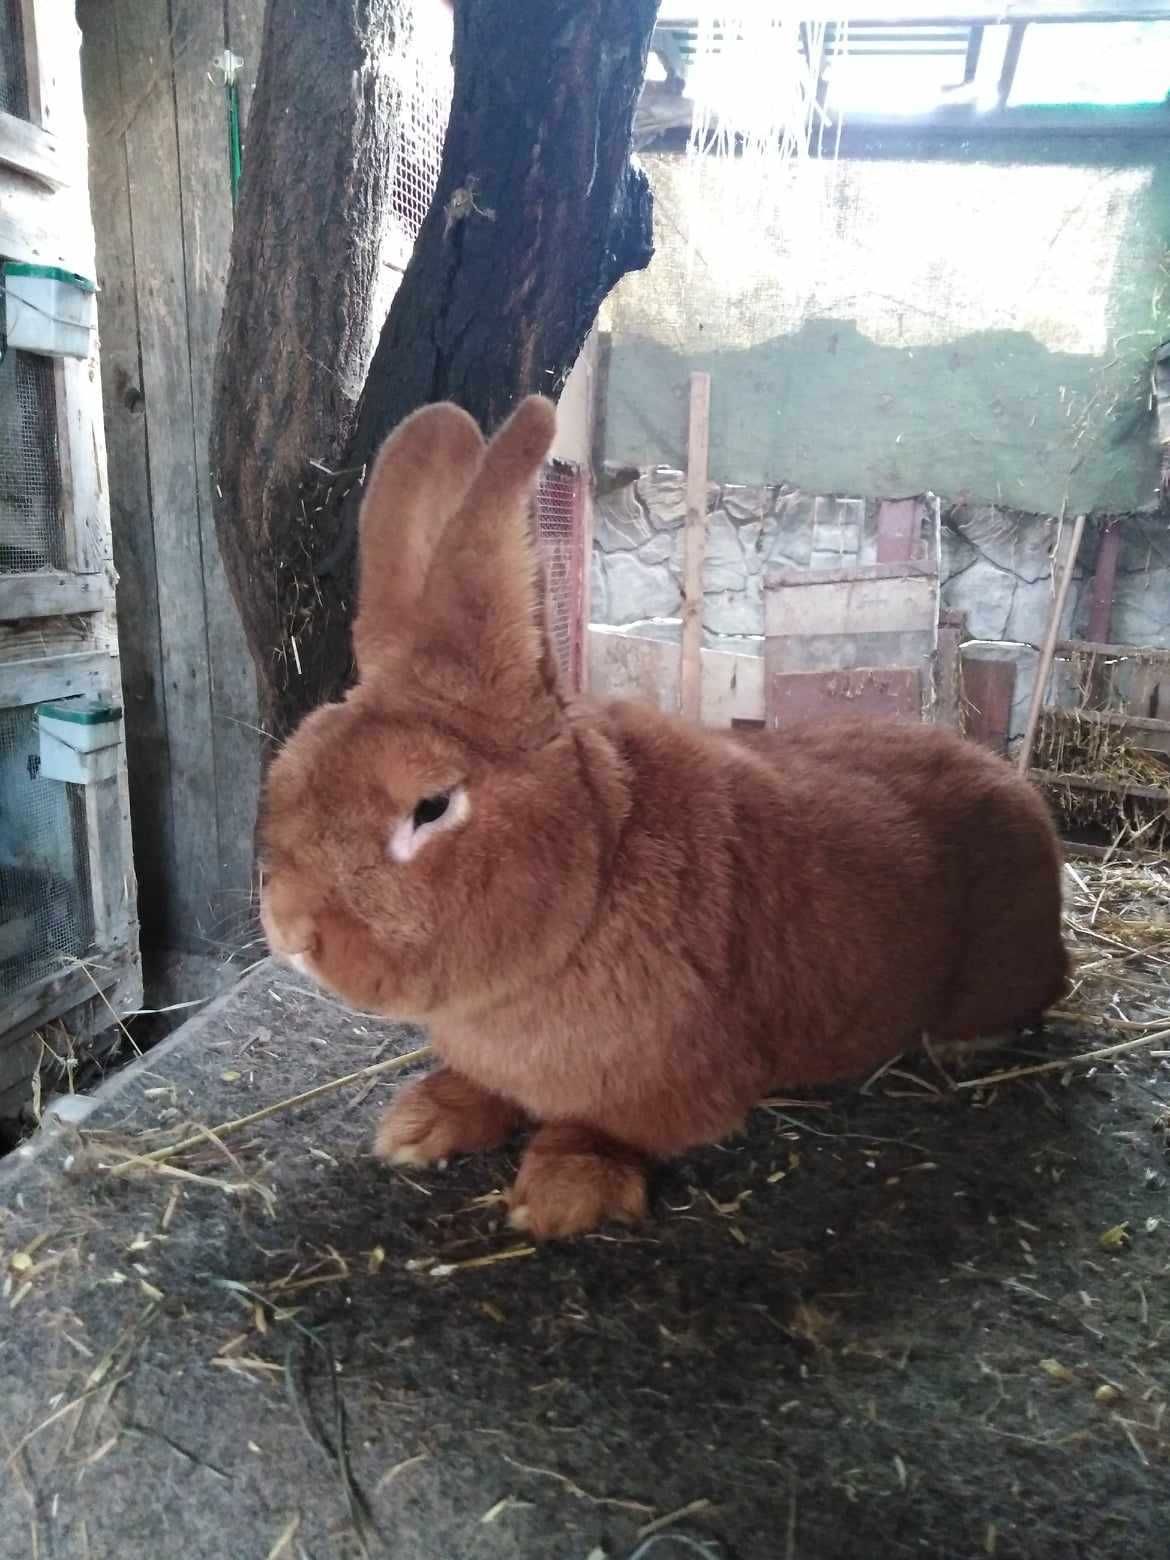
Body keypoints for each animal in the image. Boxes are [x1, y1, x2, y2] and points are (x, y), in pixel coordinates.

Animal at [258, 396, 1073, 1235]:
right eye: (292, 767)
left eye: (430, 806)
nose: (289, 931)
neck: (589, 877)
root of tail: (1020, 798)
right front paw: (421, 1124)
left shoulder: (664, 1077)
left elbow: (603, 1127)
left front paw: (562, 1194)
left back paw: (965, 1047)